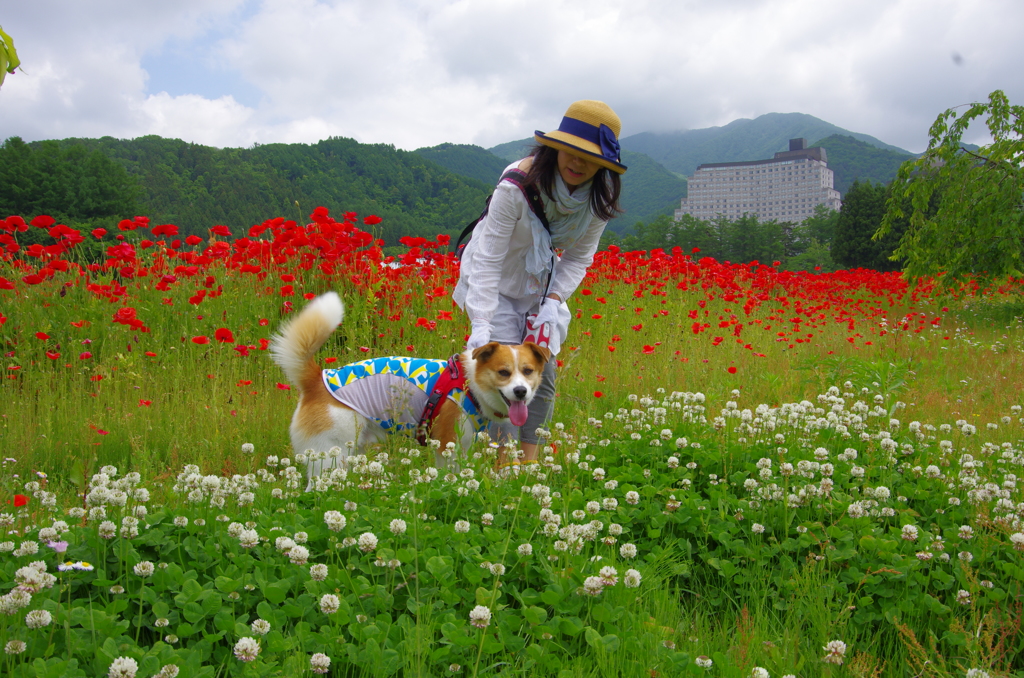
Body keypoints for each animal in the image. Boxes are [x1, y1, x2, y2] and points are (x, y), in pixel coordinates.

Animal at [268, 292, 548, 483]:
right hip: (329, 455)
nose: (521, 392)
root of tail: (316, 380)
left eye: (527, 371)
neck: (471, 384)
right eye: (503, 373)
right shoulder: (448, 445)